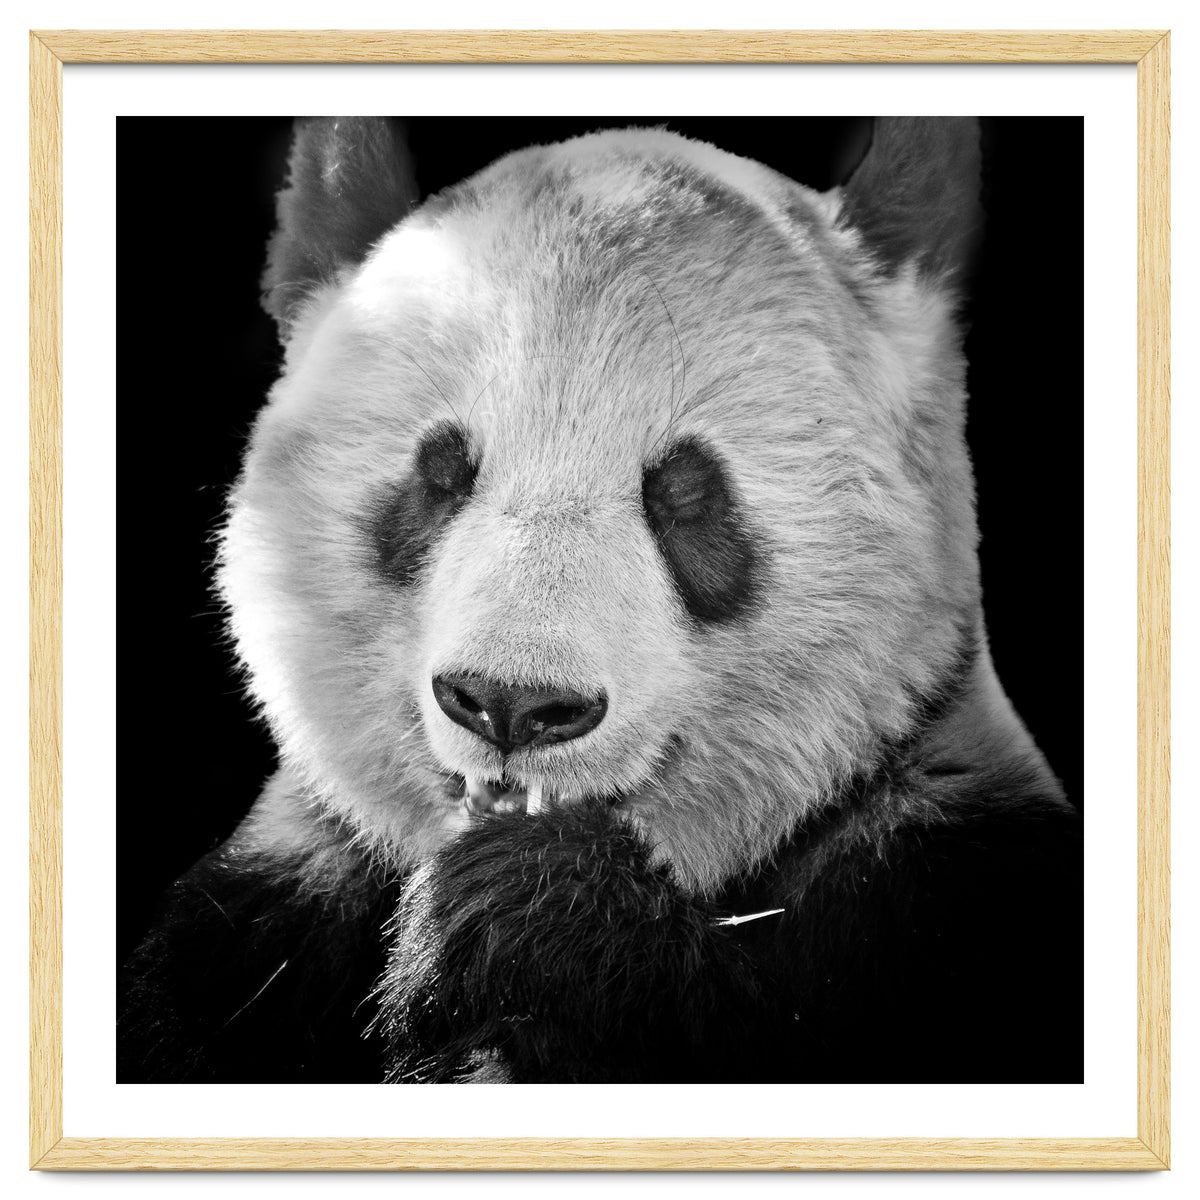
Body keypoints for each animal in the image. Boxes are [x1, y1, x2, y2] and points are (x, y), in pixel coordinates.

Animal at [119, 116, 1082, 1085]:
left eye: (685, 495)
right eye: (441, 473)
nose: (512, 704)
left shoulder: (945, 887)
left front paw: (531, 914)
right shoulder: (258, 923)